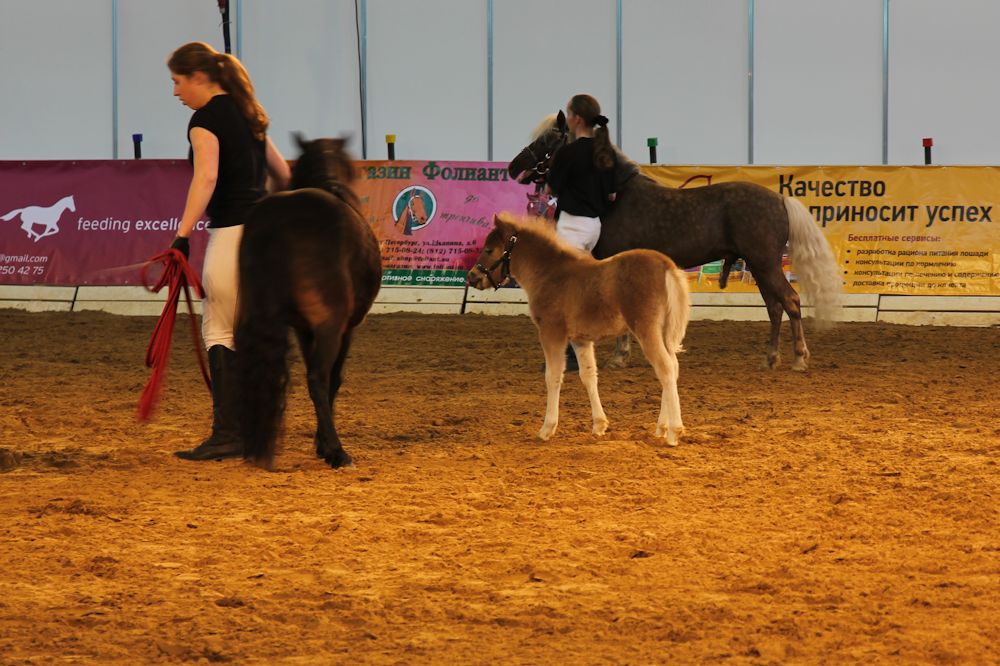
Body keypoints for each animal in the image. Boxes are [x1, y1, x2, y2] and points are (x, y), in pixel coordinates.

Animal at [234, 135, 382, 466]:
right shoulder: (345, 329)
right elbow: (333, 378)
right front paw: (323, 444)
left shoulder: (302, 329)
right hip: (330, 323)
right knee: (318, 378)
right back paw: (338, 452)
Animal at [466, 210, 688, 444]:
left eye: (489, 249)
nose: (472, 276)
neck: (549, 274)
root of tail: (667, 266)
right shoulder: (580, 339)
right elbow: (588, 376)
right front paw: (599, 425)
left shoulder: (551, 333)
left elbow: (553, 376)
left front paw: (547, 428)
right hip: (664, 332)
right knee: (673, 367)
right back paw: (661, 427)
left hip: (646, 329)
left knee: (665, 368)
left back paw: (674, 431)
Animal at [508, 109, 844, 368]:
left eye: (547, 140)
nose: (513, 167)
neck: (617, 198)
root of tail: (780, 199)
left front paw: (619, 356)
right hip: (760, 267)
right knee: (775, 308)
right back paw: (770, 358)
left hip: (766, 265)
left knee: (790, 301)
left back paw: (799, 358)